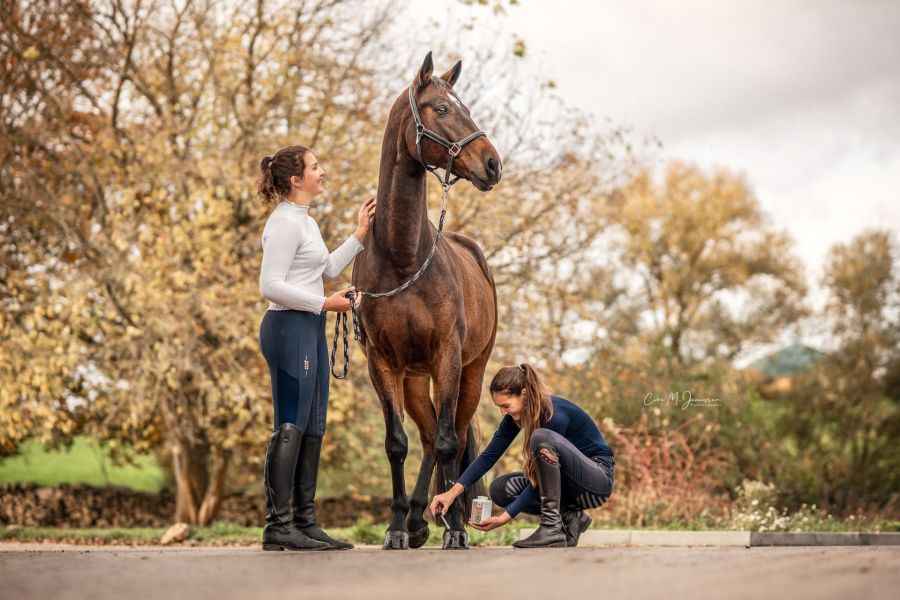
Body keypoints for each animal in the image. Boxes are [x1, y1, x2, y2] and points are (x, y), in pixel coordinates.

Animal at [352, 54, 502, 552]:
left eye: (465, 107)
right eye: (441, 108)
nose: (493, 164)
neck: (403, 259)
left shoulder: (448, 357)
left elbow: (449, 442)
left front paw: (455, 527)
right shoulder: (382, 363)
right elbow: (397, 443)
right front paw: (397, 526)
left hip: (470, 372)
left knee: (449, 434)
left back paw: (445, 516)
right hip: (417, 379)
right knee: (427, 435)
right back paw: (419, 518)